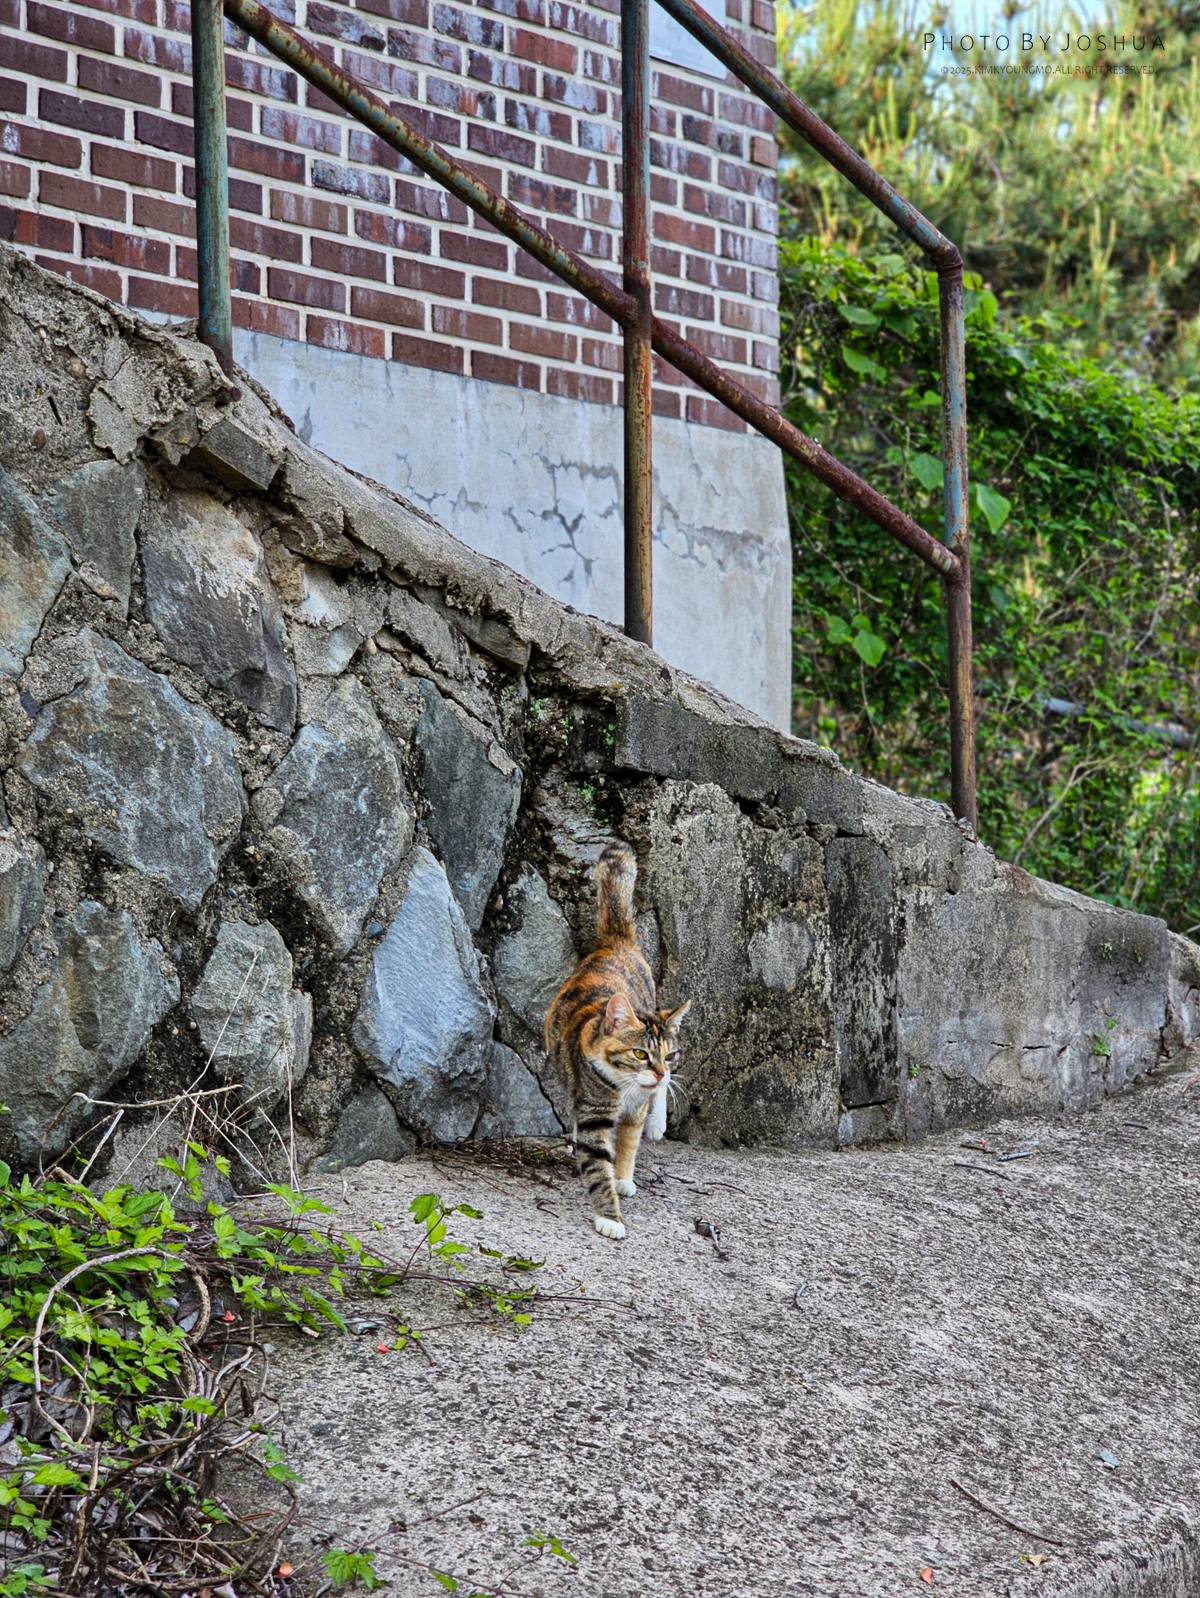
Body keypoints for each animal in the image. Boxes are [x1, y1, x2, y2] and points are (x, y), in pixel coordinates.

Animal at [543, 842, 690, 1239]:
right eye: (639, 1053)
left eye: (669, 1056)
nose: (660, 1071)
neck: (625, 1086)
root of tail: (615, 944)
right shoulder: (594, 1107)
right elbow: (597, 1163)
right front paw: (610, 1217)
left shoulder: (636, 1106)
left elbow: (628, 1141)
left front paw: (623, 1178)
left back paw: (657, 1123)